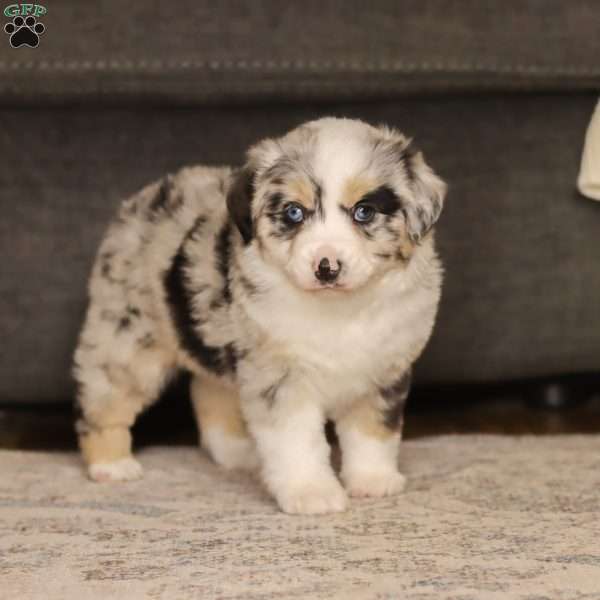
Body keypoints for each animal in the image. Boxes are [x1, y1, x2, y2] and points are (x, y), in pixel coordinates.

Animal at [72, 118, 446, 516]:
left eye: (365, 211)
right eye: (294, 212)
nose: (326, 267)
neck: (337, 309)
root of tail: (135, 205)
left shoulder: (383, 371)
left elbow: (373, 432)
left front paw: (373, 481)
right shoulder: (279, 376)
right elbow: (297, 442)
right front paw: (312, 493)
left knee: (209, 389)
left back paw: (238, 453)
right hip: (128, 339)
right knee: (102, 400)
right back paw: (111, 464)